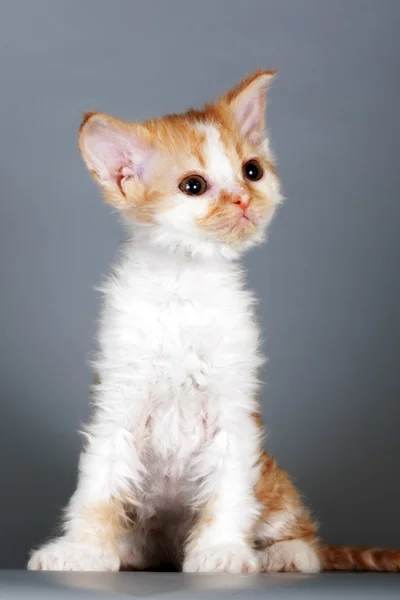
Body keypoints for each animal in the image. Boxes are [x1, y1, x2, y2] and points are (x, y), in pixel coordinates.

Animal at [28, 70, 400, 572]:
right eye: (193, 185)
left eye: (252, 171)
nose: (243, 199)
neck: (185, 282)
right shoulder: (118, 401)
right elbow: (98, 487)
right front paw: (81, 549)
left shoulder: (234, 408)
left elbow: (228, 487)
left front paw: (222, 550)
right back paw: (128, 550)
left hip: (271, 478)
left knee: (303, 532)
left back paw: (287, 554)